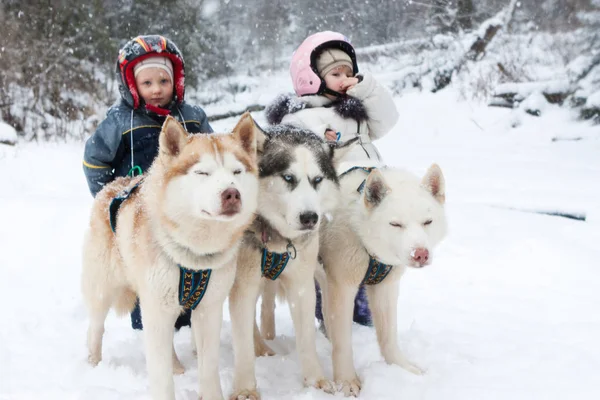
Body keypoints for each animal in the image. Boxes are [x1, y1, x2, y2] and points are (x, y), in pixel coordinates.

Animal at [81, 112, 258, 400]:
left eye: (236, 172)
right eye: (202, 173)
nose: (232, 194)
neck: (194, 253)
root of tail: (113, 185)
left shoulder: (209, 308)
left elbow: (209, 366)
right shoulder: (157, 307)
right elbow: (160, 375)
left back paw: (176, 365)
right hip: (104, 290)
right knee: (95, 328)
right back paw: (92, 364)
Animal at [227, 123, 354, 398]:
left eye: (317, 180)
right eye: (288, 178)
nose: (310, 217)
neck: (275, 238)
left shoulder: (302, 284)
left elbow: (306, 338)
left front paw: (316, 381)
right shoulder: (242, 285)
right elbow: (241, 344)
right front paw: (245, 389)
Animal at [318, 163, 446, 396]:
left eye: (427, 222)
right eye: (395, 224)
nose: (420, 254)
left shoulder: (385, 286)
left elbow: (388, 337)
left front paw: (402, 369)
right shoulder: (343, 285)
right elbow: (343, 343)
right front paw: (346, 381)